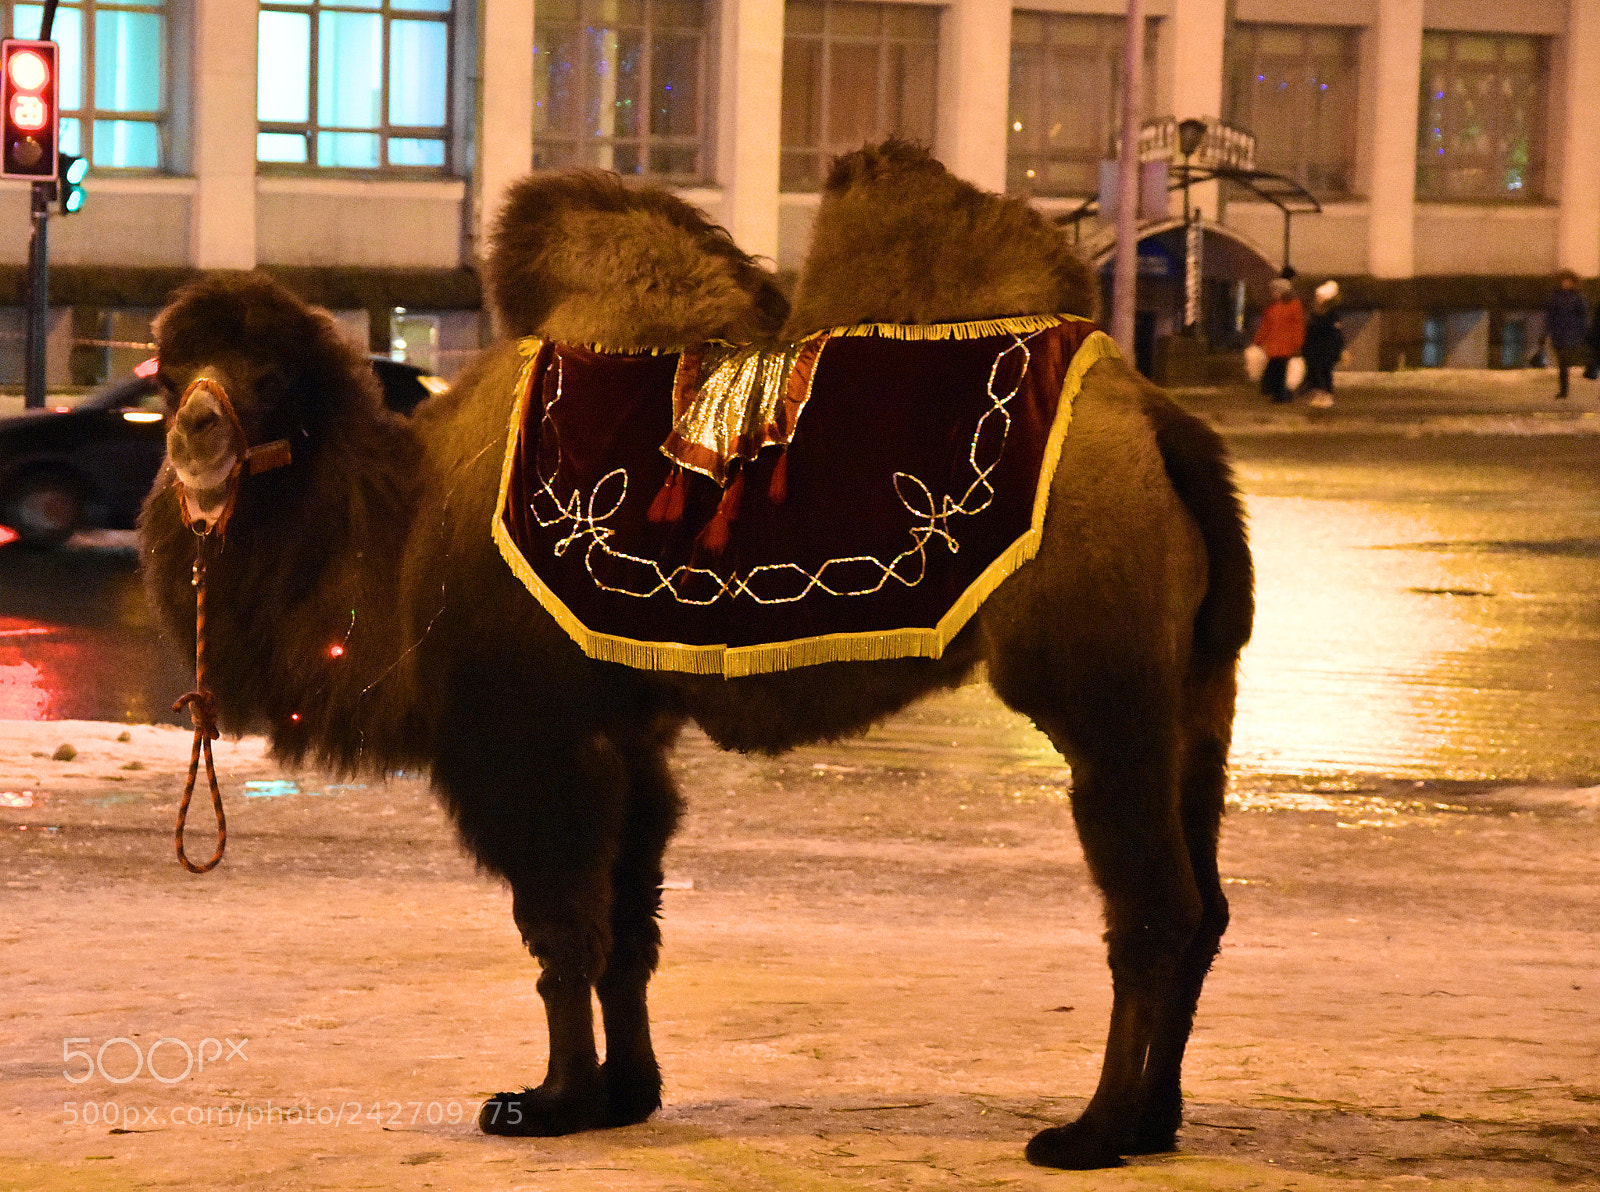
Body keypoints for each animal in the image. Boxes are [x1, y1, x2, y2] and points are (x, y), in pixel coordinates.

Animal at [139, 140, 1252, 1170]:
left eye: (268, 376)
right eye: (168, 369)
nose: (194, 431)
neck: (406, 531)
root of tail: (1163, 423)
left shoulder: (527, 736)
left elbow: (560, 927)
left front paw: (549, 1101)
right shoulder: (626, 733)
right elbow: (628, 926)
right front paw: (625, 1092)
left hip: (1104, 685)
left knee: (1150, 907)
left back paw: (1093, 1130)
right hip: (1199, 694)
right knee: (1205, 904)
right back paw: (1154, 1122)